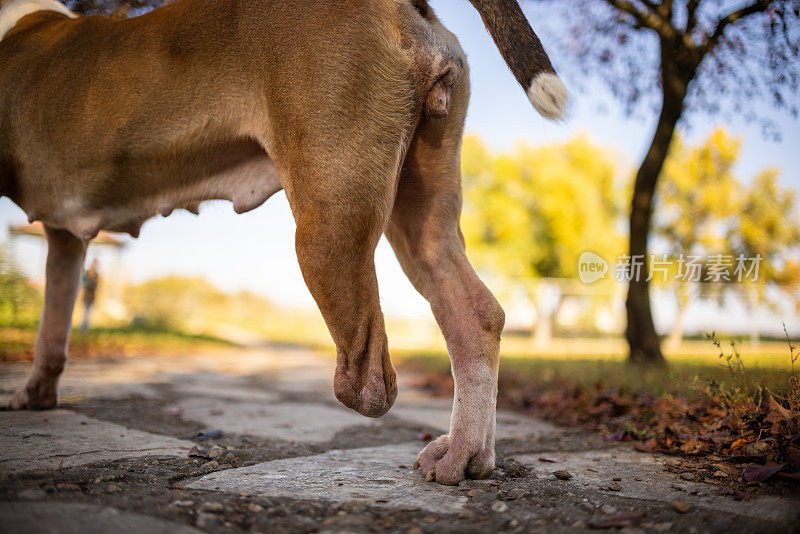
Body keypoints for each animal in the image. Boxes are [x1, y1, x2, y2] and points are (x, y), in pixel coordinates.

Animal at [0, 0, 564, 486]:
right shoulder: (65, 240)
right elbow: (52, 325)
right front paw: (34, 396)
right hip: (422, 214)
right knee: (472, 314)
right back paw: (465, 455)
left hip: (327, 222)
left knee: (369, 377)